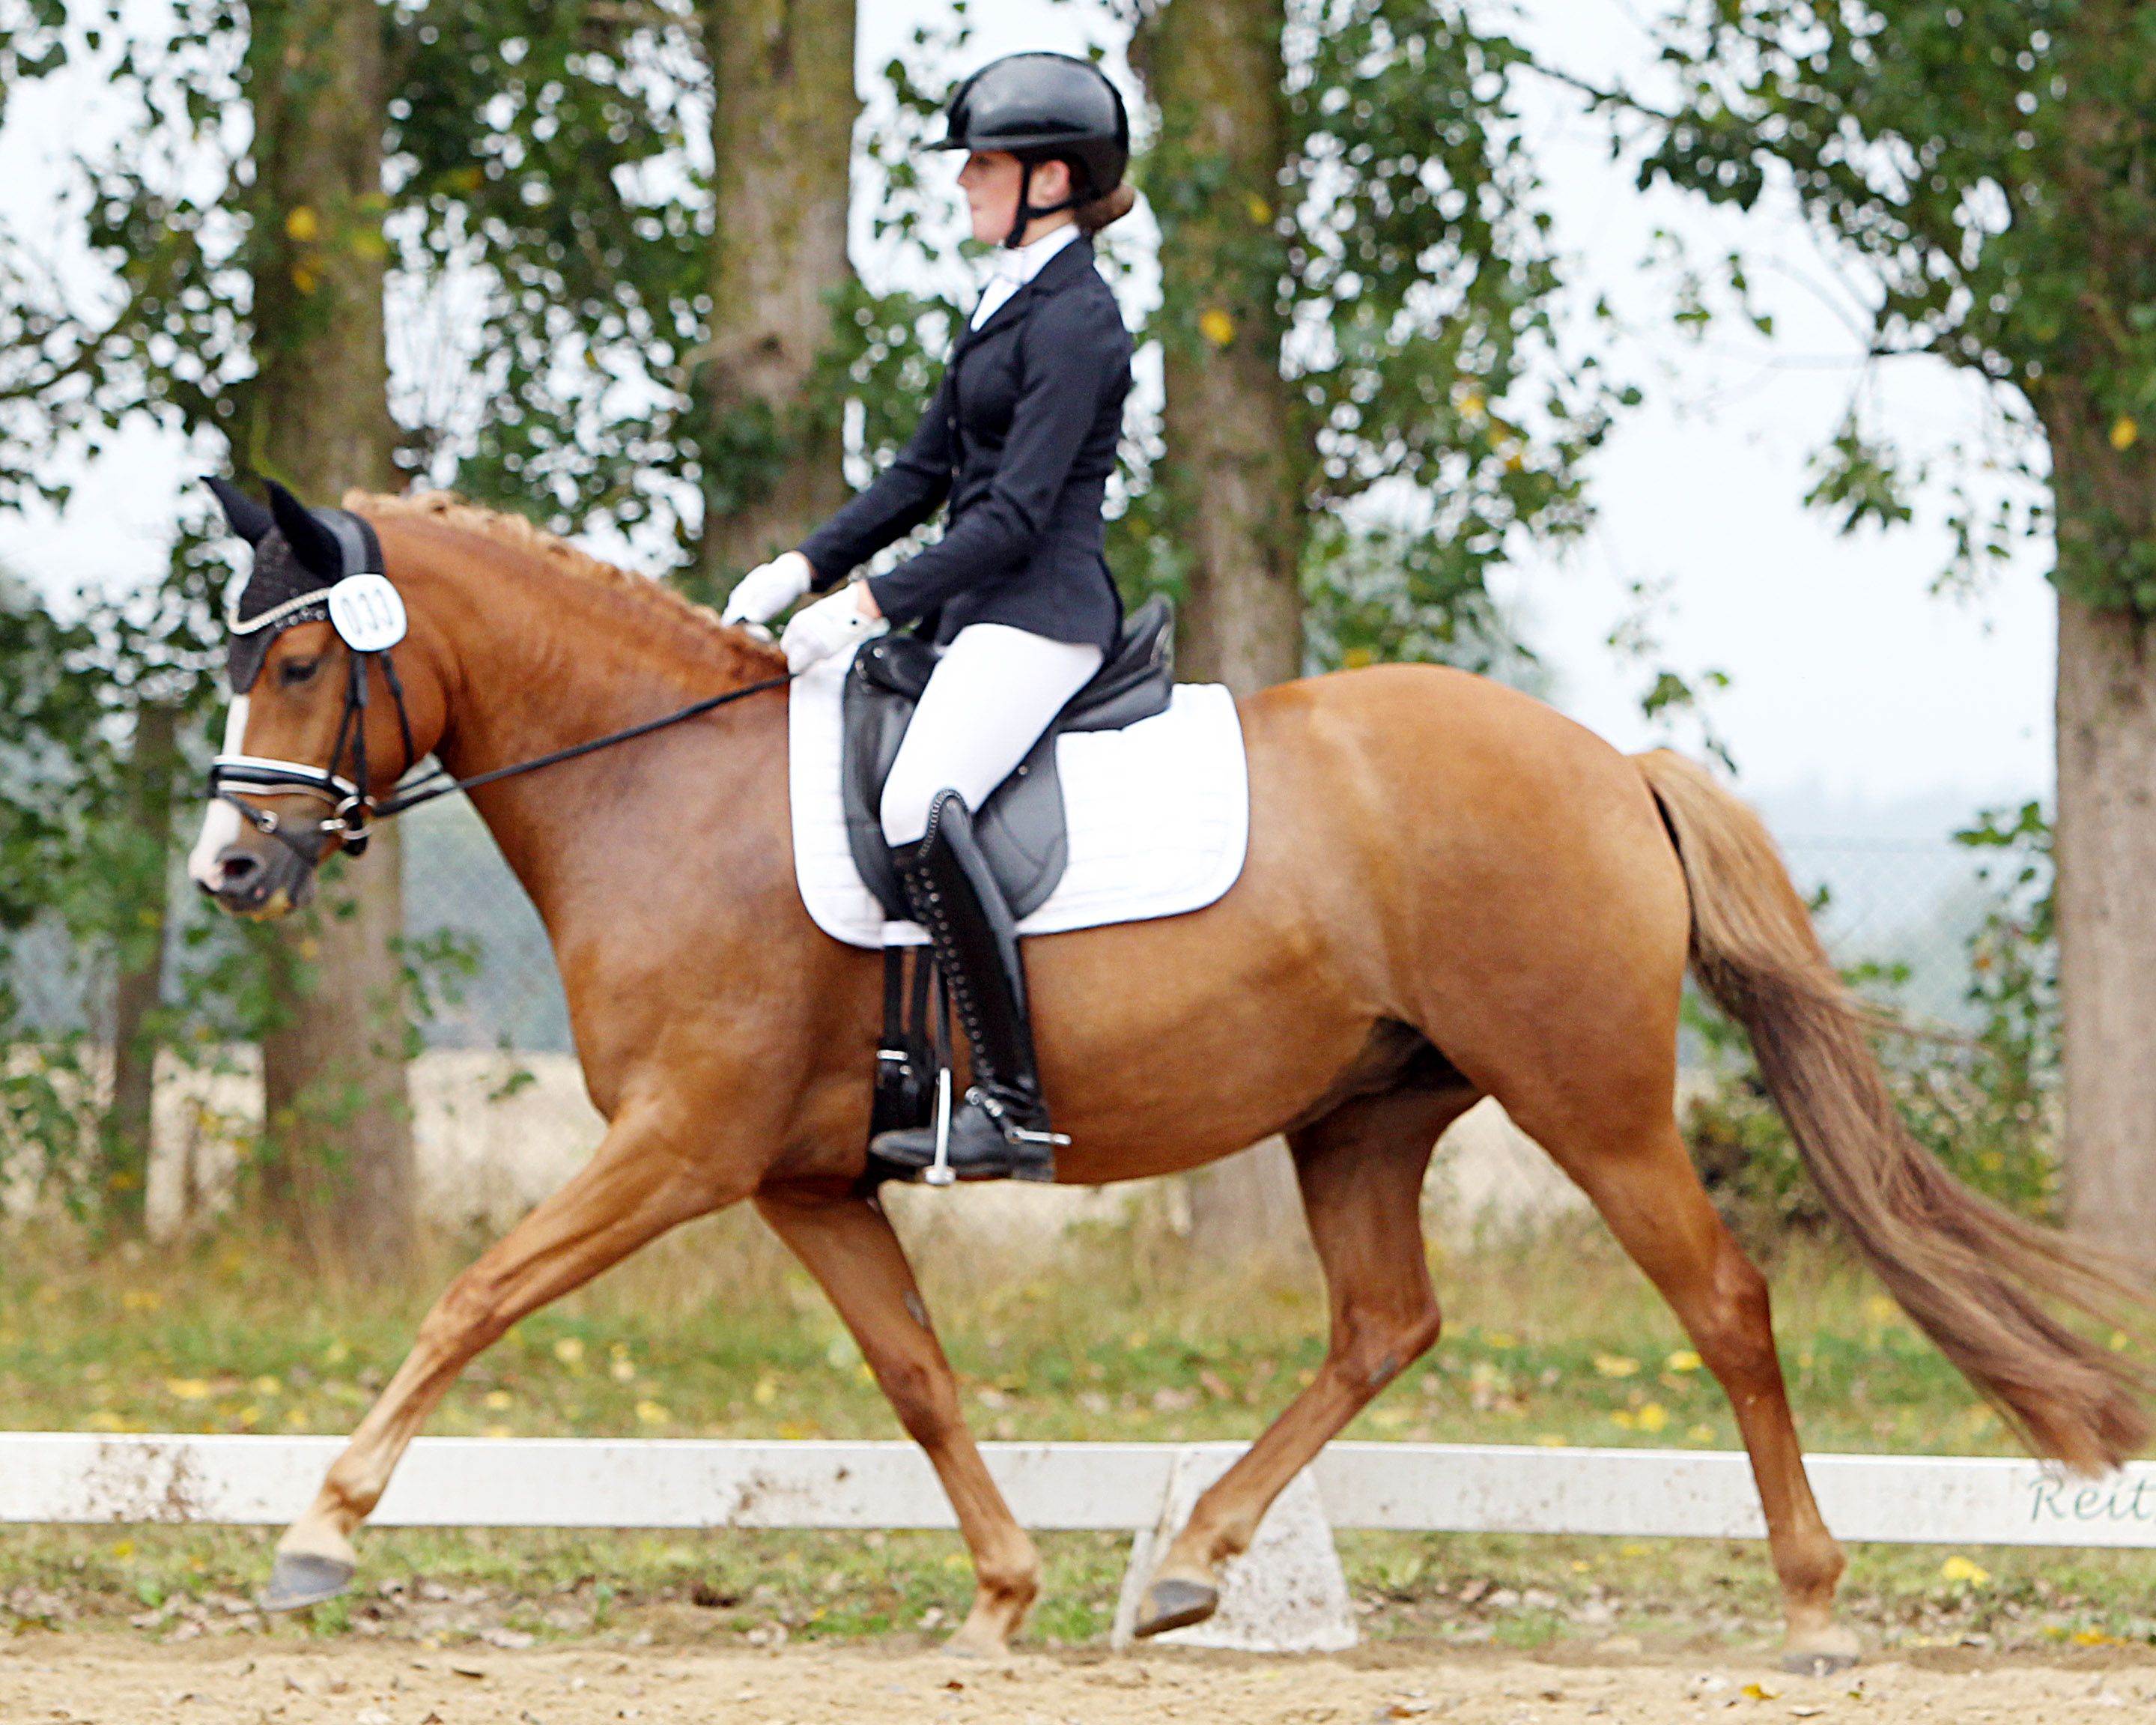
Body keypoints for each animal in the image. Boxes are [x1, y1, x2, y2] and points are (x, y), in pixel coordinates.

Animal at [190, 489, 2146, 1670]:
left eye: (295, 656)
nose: (227, 869)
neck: (660, 791)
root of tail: (1607, 762)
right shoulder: (800, 1177)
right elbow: (916, 1376)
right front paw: (1000, 1596)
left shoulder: (679, 1146)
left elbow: (472, 1295)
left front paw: (314, 1534)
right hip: (1363, 1114)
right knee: (1382, 1322)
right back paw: (1196, 1554)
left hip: (1585, 1098)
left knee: (1724, 1303)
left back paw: (1811, 1603)